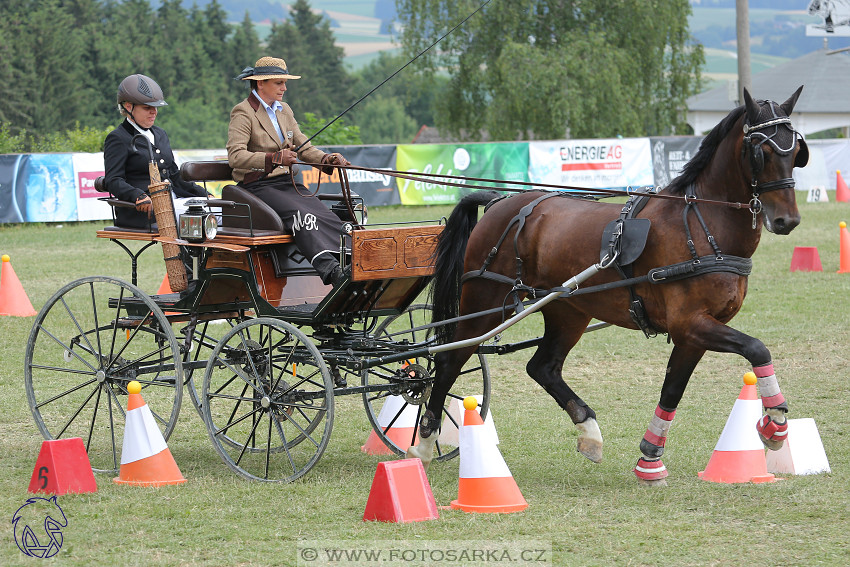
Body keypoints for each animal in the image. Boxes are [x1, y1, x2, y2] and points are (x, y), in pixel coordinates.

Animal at [406, 86, 808, 486]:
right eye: (761, 151)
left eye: (796, 151)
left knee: (543, 367)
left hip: (566, 310)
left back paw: (589, 432)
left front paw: (650, 460)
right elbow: (757, 348)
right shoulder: (690, 324)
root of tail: (498, 201)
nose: (786, 220)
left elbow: (672, 390)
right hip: (483, 304)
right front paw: (775, 424)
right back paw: (423, 443)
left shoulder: (694, 333)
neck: (698, 223)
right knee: (449, 361)